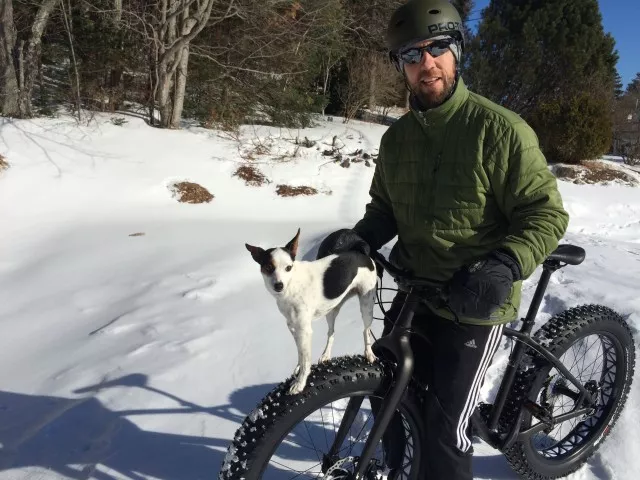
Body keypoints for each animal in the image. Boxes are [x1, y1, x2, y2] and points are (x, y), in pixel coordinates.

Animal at [244, 229, 376, 394]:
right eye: (268, 267)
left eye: (288, 267)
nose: (279, 285)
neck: (292, 286)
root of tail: (362, 254)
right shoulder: (294, 327)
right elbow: (301, 354)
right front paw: (298, 368)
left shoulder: (304, 330)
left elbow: (306, 360)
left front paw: (300, 382)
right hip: (331, 309)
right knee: (331, 332)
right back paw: (326, 355)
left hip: (366, 304)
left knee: (366, 330)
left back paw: (369, 353)